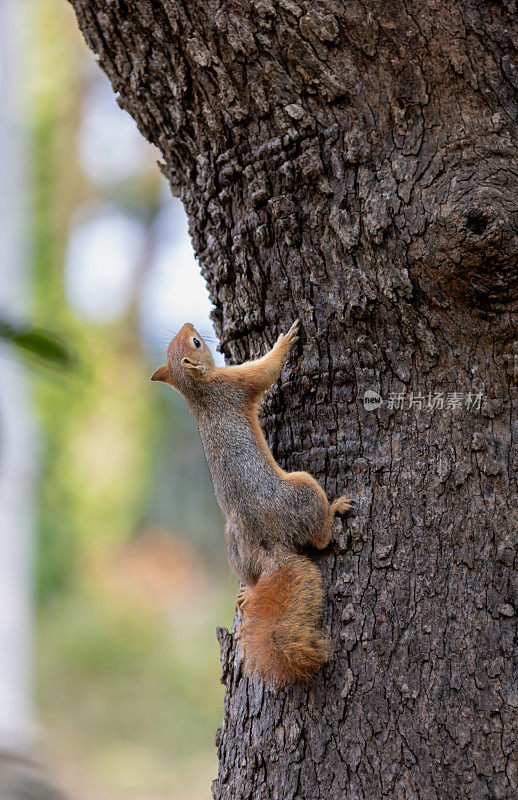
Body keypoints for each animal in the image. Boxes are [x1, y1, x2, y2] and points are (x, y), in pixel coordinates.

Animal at [152, 322, 352, 684]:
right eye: (197, 342)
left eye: (188, 339)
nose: (189, 325)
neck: (198, 392)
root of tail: (270, 550)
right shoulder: (236, 385)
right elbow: (265, 371)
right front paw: (285, 341)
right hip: (303, 489)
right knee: (319, 539)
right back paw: (335, 510)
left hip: (235, 547)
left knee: (253, 574)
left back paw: (248, 591)